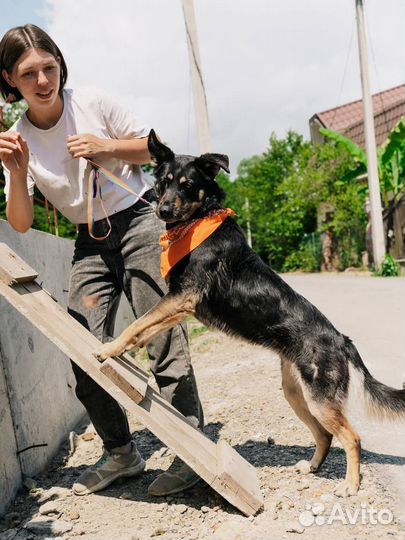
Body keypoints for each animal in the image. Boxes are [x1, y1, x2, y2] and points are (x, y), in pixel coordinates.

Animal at [95, 131, 404, 498]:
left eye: (187, 185)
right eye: (164, 182)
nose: (163, 208)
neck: (199, 220)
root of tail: (343, 341)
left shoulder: (181, 299)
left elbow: (138, 325)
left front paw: (109, 349)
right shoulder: (177, 304)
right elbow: (144, 328)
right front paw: (123, 350)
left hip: (319, 399)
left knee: (352, 437)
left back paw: (351, 485)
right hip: (296, 394)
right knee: (326, 435)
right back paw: (312, 467)